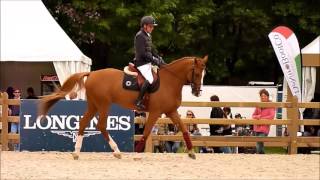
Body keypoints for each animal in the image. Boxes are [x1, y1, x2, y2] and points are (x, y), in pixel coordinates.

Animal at [40, 55, 209, 160]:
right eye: (197, 73)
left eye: (204, 74)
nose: (197, 92)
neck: (169, 81)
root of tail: (92, 74)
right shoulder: (155, 112)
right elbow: (146, 132)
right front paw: (137, 154)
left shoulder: (171, 111)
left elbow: (184, 129)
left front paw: (191, 152)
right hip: (103, 105)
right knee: (101, 125)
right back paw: (117, 152)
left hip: (94, 105)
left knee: (83, 123)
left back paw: (76, 153)